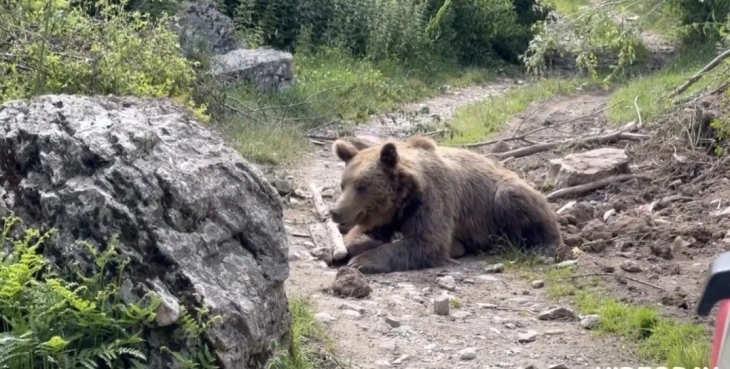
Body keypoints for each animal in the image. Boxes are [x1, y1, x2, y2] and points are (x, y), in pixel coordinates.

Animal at [328, 135, 560, 274]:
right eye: (343, 184)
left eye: (361, 186)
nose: (335, 211)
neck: (403, 201)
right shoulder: (388, 216)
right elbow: (366, 234)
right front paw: (339, 250)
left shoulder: (433, 199)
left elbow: (428, 242)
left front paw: (362, 261)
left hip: (499, 198)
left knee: (516, 201)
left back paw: (543, 245)